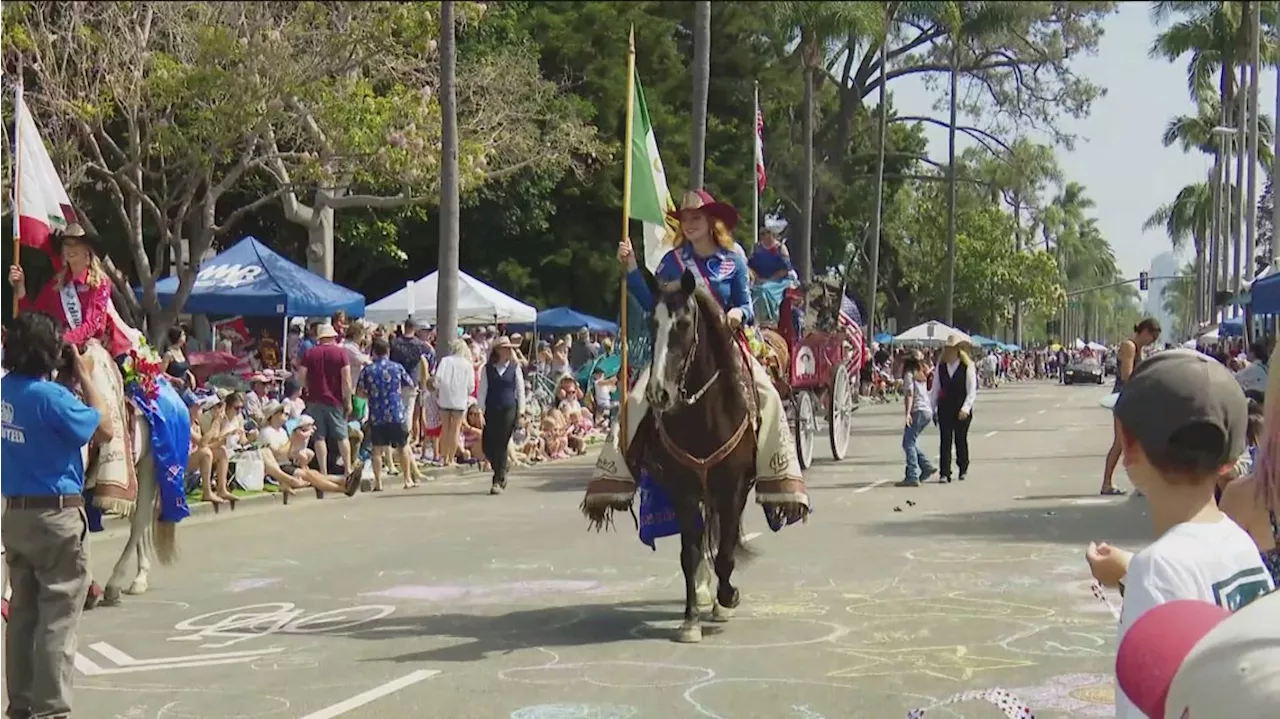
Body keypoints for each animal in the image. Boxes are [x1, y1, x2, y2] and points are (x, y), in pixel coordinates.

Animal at [624, 267, 752, 637]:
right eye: (651, 322)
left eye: (682, 323)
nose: (658, 394)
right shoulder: (682, 489)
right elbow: (689, 554)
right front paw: (691, 617)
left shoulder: (733, 487)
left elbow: (725, 553)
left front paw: (728, 598)